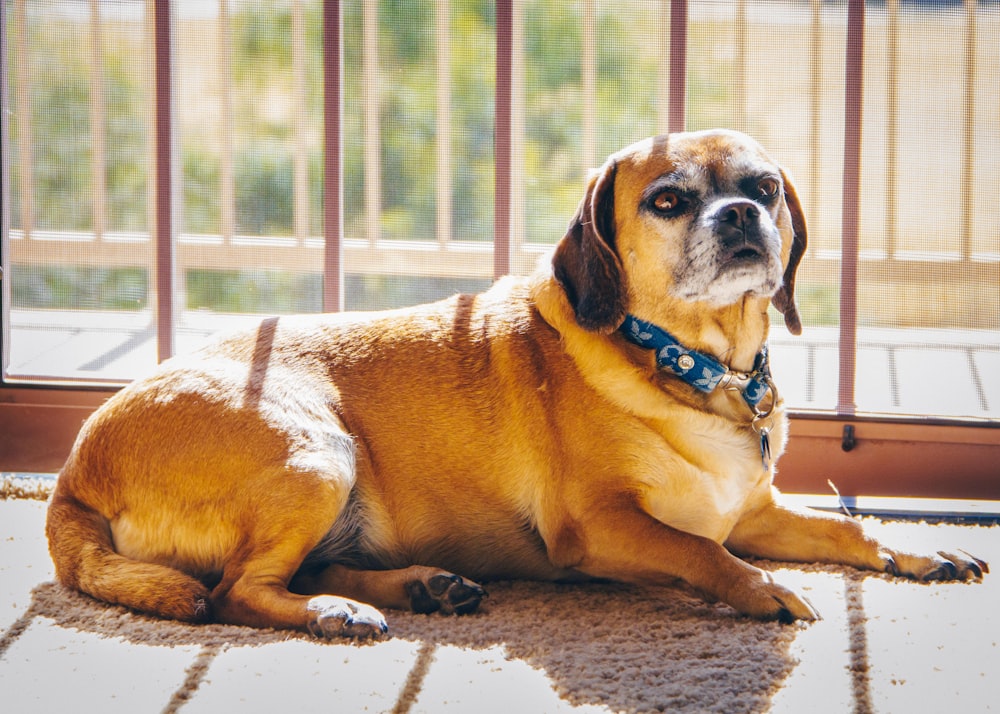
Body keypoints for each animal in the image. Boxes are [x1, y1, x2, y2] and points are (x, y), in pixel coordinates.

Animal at [45, 131, 984, 636]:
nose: (742, 214)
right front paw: (768, 593)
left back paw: (417, 588)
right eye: (670, 200)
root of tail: (71, 475)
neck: (701, 370)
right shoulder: (606, 528)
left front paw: (917, 550)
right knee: (236, 592)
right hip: (314, 450)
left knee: (300, 572)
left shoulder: (757, 510)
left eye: (761, 189)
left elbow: (847, 531)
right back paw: (336, 616)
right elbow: (703, 553)